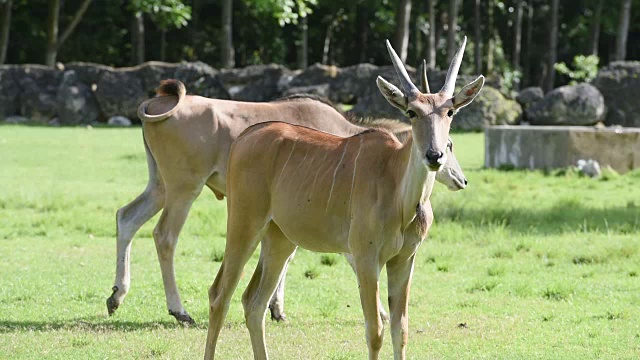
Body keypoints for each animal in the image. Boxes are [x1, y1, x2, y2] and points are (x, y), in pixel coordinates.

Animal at [104, 76, 464, 324]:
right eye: (449, 145)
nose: (461, 179)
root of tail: (155, 105)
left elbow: (287, 257)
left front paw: (276, 309)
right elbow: (345, 257)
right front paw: (381, 311)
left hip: (160, 186)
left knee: (126, 217)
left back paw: (116, 296)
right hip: (184, 188)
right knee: (164, 236)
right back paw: (179, 310)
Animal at [202, 37, 482, 360]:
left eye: (450, 113)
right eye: (411, 112)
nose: (434, 156)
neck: (399, 195)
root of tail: (242, 139)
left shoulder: (404, 260)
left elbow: (401, 330)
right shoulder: (365, 257)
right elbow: (375, 332)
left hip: (279, 240)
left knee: (253, 302)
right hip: (244, 225)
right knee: (219, 295)